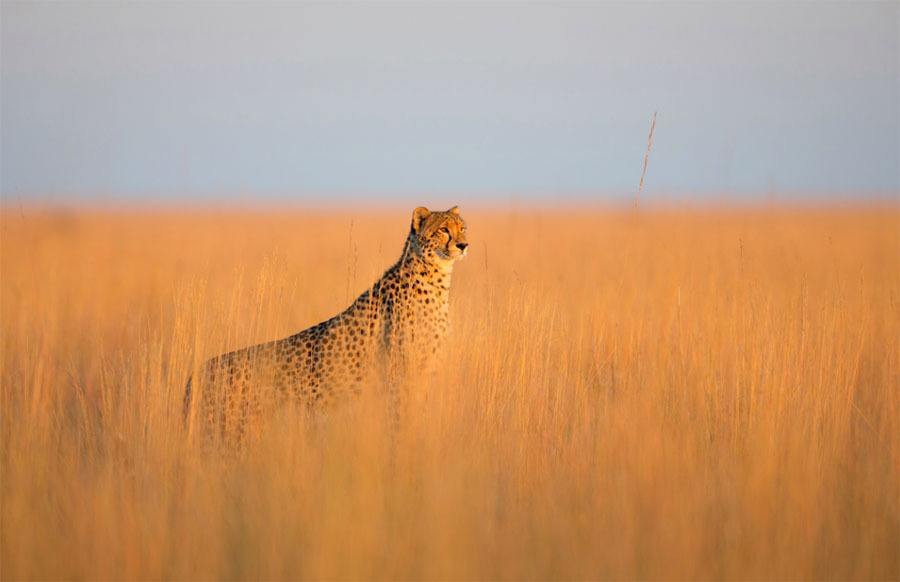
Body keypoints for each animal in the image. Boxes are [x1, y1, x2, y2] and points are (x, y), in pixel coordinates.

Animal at [180, 208, 468, 444]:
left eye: (462, 227)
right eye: (443, 229)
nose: (464, 244)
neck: (436, 276)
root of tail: (199, 371)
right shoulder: (401, 373)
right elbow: (402, 420)